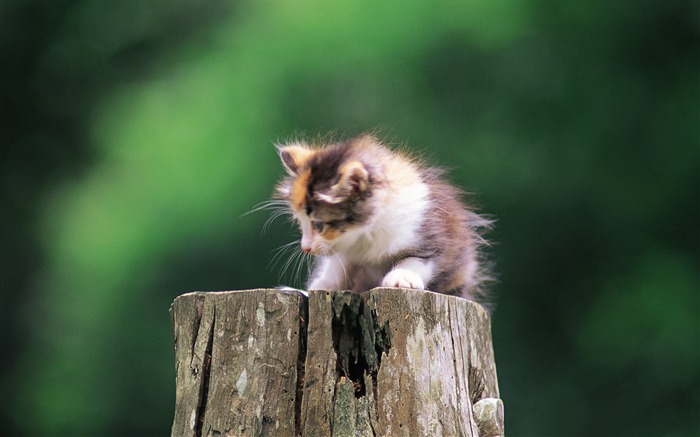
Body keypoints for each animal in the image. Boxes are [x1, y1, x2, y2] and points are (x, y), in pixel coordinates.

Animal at [272, 135, 492, 308]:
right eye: (300, 222)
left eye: (319, 224)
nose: (306, 247)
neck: (365, 235)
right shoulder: (343, 255)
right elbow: (335, 272)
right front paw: (313, 290)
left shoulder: (433, 236)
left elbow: (416, 260)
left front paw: (401, 277)